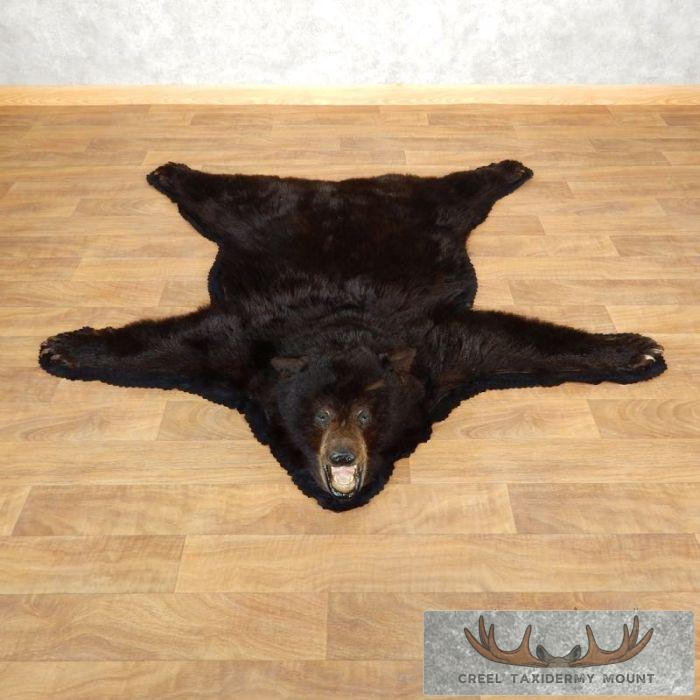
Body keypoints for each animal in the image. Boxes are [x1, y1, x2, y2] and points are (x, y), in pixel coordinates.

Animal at [39, 159, 666, 511]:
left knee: (457, 192)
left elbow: (516, 342)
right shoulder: (247, 350)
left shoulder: (436, 352)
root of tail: (338, 188)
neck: (339, 328)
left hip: (420, 211)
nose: (342, 456)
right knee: (227, 197)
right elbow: (174, 343)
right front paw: (66, 347)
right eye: (319, 414)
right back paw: (171, 172)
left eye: (365, 414)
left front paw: (633, 351)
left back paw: (508, 170)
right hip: (263, 215)